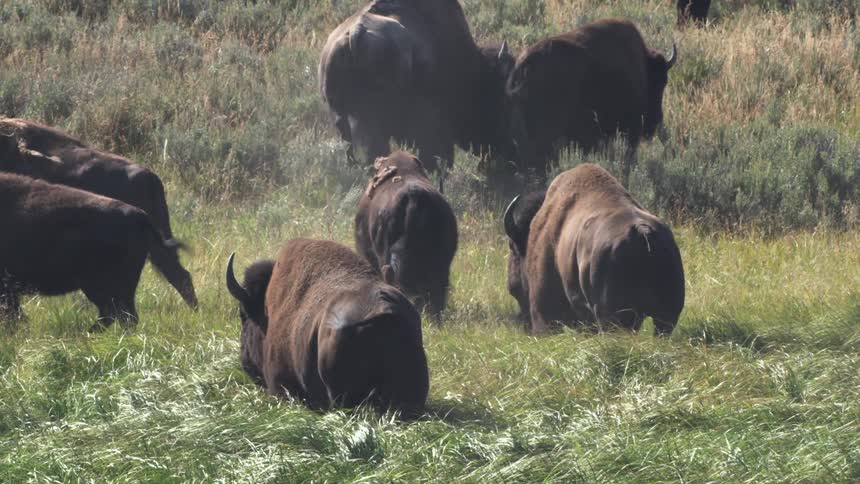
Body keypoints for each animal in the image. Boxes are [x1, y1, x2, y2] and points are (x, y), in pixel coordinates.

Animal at [503, 163, 685, 335]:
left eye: (512, 247)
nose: (512, 286)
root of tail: (642, 230)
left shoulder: (543, 313)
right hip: (666, 315)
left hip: (613, 317)